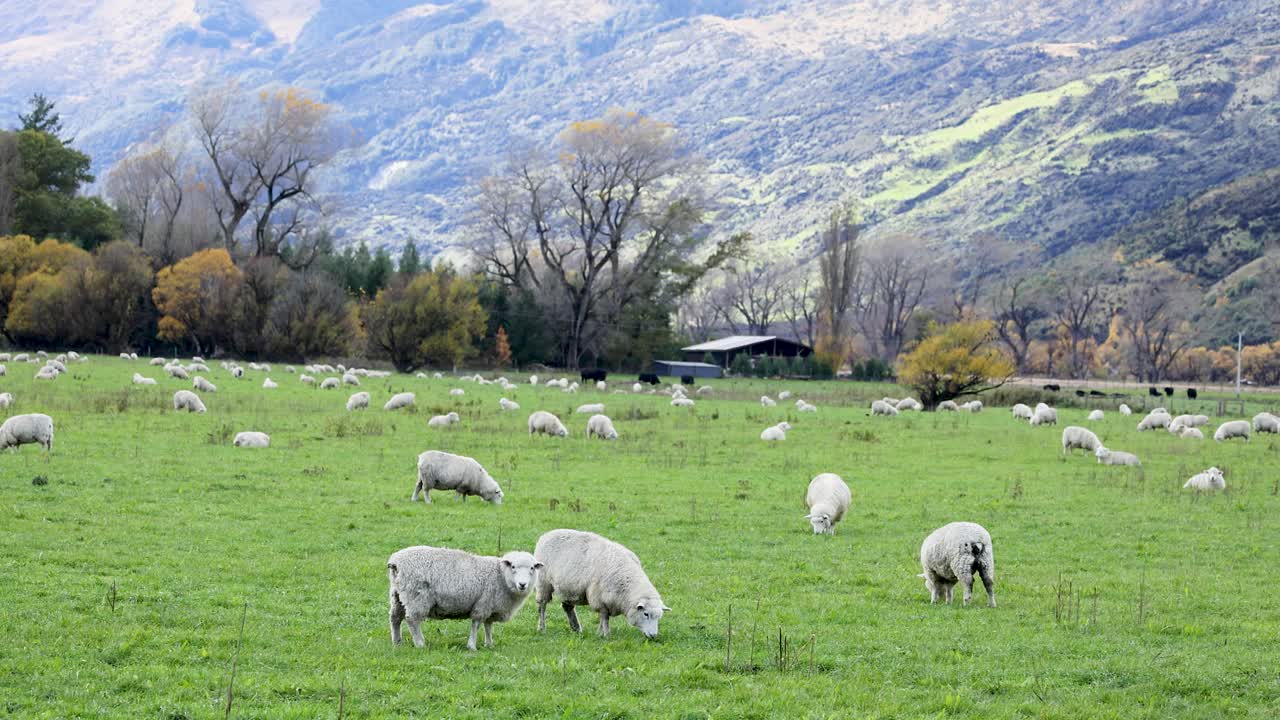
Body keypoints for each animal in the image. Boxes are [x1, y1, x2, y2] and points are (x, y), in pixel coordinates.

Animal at [387, 546, 540, 650]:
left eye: (532, 568)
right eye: (513, 567)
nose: (522, 584)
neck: (500, 576)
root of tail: (395, 562)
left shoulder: (491, 606)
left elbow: (488, 626)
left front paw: (489, 644)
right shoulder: (483, 604)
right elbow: (477, 624)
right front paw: (472, 646)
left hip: (397, 595)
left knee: (395, 617)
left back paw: (397, 642)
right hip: (416, 597)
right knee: (412, 620)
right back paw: (420, 644)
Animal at [534, 529, 669, 639]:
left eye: (659, 617)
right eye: (646, 614)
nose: (653, 636)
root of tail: (546, 534)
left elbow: (602, 618)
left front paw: (599, 633)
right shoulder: (599, 598)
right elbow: (604, 617)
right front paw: (606, 635)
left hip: (568, 588)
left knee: (567, 607)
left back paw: (576, 628)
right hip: (543, 583)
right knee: (542, 606)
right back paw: (541, 628)